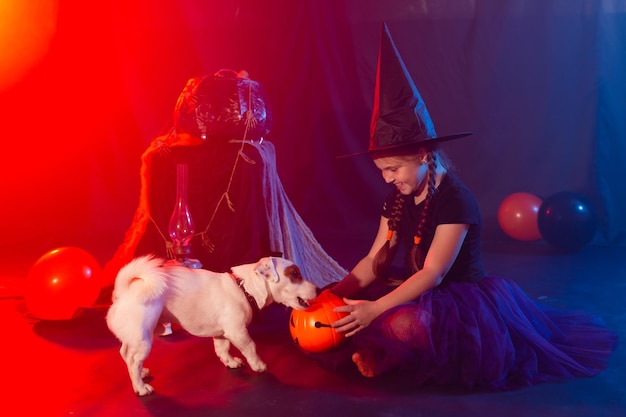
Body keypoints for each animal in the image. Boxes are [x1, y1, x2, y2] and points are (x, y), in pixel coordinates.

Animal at [106, 255, 316, 394]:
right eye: (294, 274)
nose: (318, 288)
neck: (244, 288)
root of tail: (124, 292)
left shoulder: (222, 334)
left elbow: (223, 349)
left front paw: (230, 362)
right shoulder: (238, 332)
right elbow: (251, 347)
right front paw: (258, 365)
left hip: (137, 337)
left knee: (126, 354)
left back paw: (141, 374)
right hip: (143, 339)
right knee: (133, 362)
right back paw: (140, 387)